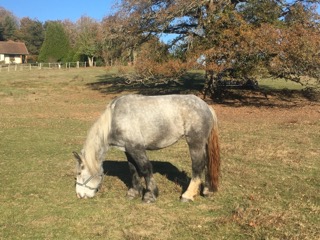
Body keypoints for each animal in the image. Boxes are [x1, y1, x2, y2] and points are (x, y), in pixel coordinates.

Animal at [73, 94, 220, 202]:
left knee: (197, 166)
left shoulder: (137, 148)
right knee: (207, 164)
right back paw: (207, 190)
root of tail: (206, 106)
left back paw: (188, 195)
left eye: (79, 173)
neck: (114, 120)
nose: (79, 195)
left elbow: (145, 169)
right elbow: (133, 170)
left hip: (195, 143)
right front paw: (133, 193)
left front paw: (150, 195)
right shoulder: (128, 150)